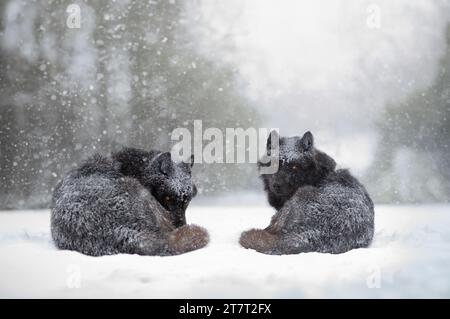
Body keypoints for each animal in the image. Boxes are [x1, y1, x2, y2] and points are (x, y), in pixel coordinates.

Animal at [241, 132, 374, 255]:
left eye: (295, 167)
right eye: (274, 164)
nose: (276, 185)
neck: (320, 175)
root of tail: (309, 235)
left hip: (300, 195)